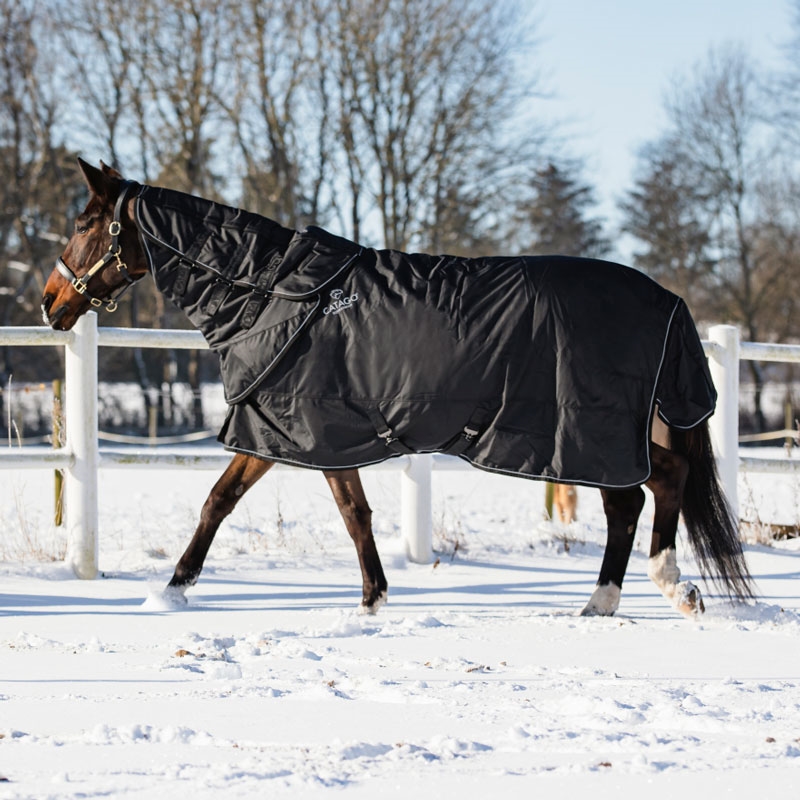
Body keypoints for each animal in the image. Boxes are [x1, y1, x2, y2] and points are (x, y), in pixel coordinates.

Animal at [40, 159, 752, 616]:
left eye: (84, 222)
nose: (50, 303)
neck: (277, 294)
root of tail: (666, 298)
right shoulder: (295, 432)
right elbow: (289, 508)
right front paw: (371, 600)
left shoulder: (306, 431)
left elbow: (278, 508)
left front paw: (171, 592)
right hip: (603, 433)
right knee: (657, 485)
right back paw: (644, 595)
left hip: (587, 431)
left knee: (633, 497)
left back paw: (629, 595)